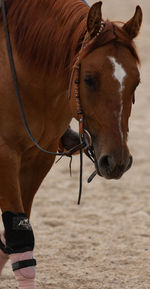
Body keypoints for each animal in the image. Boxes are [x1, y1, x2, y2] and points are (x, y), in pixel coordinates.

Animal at [0, 0, 142, 286]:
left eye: (136, 82)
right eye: (89, 79)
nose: (117, 162)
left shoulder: (37, 159)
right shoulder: (5, 155)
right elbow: (20, 242)